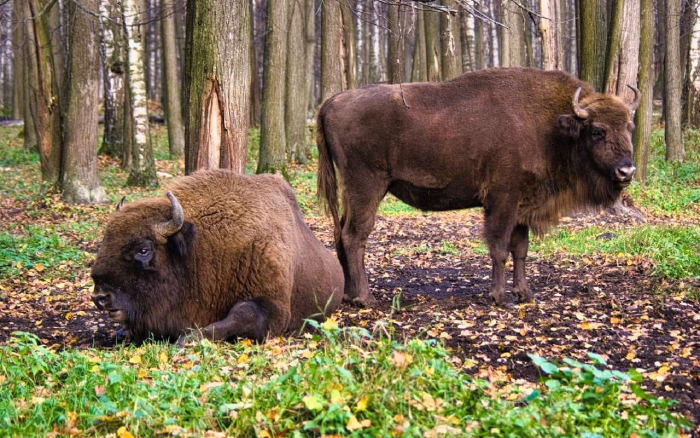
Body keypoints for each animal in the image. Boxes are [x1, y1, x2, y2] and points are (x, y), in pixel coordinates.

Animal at [91, 170, 344, 342]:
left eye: (144, 250)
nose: (100, 297)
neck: (199, 248)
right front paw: (122, 331)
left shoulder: (274, 307)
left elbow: (242, 314)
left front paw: (187, 339)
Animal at [318, 67, 640, 308]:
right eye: (597, 131)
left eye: (629, 127)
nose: (627, 171)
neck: (549, 127)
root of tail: (332, 102)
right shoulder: (502, 201)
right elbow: (499, 248)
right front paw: (499, 297)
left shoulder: (523, 205)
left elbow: (520, 249)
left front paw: (525, 294)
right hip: (367, 185)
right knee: (355, 236)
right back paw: (365, 298)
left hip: (354, 191)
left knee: (341, 233)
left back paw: (347, 295)